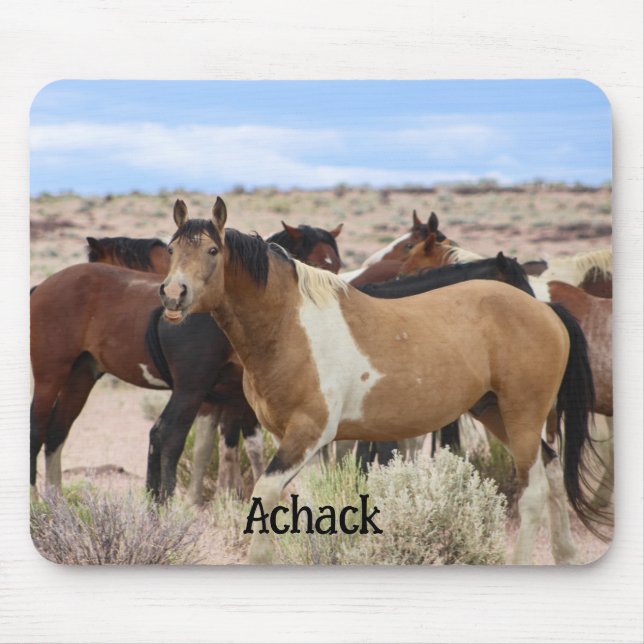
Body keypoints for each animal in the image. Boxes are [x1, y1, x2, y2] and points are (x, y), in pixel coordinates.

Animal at [31, 218, 343, 504]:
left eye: (337, 265)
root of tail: (43, 286)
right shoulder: (217, 398)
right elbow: (225, 445)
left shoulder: (224, 398)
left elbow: (231, 445)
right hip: (50, 378)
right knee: (39, 427)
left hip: (81, 377)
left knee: (58, 431)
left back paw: (57, 501)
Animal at [160, 197, 608, 565]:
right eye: (172, 250)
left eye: (212, 250)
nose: (172, 294)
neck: (290, 325)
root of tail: (544, 309)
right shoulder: (289, 438)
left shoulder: (308, 434)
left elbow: (265, 495)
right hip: (495, 412)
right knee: (552, 471)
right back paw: (565, 555)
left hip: (522, 415)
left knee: (533, 491)